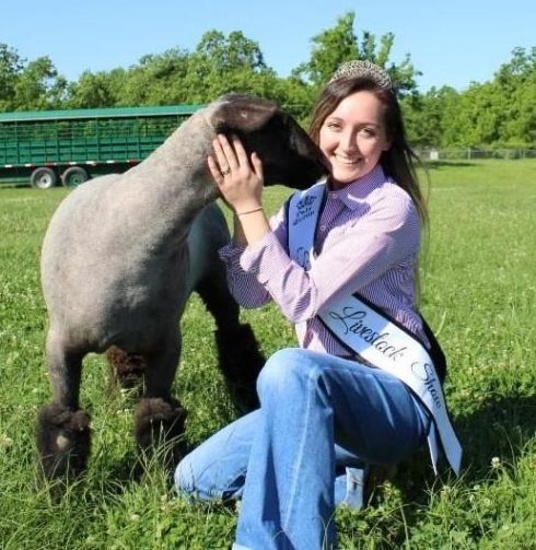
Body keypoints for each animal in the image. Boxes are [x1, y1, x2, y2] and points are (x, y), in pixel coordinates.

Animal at [37, 95, 328, 484]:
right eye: (279, 123)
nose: (322, 164)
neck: (130, 231)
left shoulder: (166, 341)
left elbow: (157, 416)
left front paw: (158, 476)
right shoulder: (61, 345)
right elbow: (62, 425)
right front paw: (57, 489)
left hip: (216, 284)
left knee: (233, 337)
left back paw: (247, 394)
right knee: (123, 360)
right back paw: (120, 400)